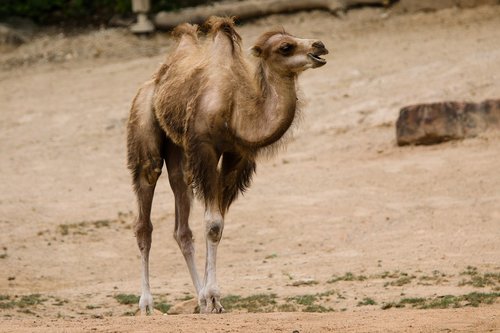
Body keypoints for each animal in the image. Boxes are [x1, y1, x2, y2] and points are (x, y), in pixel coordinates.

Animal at [125, 16, 328, 314]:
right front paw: (212, 297)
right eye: (285, 47)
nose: (319, 46)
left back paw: (197, 299)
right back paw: (147, 304)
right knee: (144, 214)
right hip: (144, 123)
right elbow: (212, 223)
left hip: (178, 150)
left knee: (181, 221)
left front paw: (212, 300)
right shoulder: (205, 150)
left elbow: (217, 223)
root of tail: (156, 77)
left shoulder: (236, 155)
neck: (235, 112)